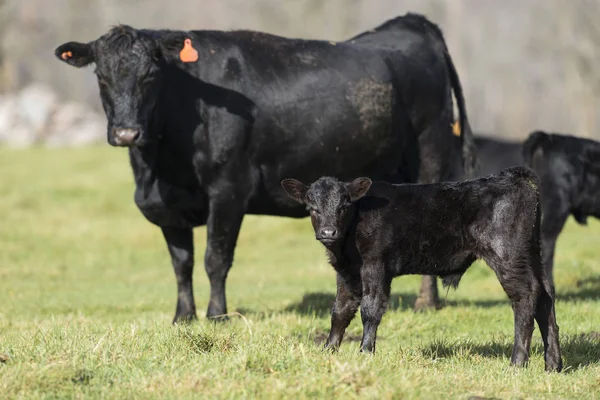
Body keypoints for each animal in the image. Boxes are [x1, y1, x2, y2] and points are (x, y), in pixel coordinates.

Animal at [54, 14, 476, 324]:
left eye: (150, 76)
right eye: (101, 77)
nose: (126, 132)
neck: (159, 170)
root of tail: (412, 21)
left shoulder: (228, 191)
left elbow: (215, 259)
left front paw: (216, 315)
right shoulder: (166, 206)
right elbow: (181, 263)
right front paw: (183, 316)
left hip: (430, 156)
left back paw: (427, 302)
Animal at [282, 166, 564, 372]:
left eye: (343, 206)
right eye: (312, 208)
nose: (328, 232)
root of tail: (511, 175)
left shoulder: (375, 265)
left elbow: (370, 309)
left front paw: (365, 352)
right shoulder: (347, 272)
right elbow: (340, 311)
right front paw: (329, 350)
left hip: (508, 254)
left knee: (526, 295)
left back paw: (517, 363)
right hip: (532, 252)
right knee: (546, 295)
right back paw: (553, 364)